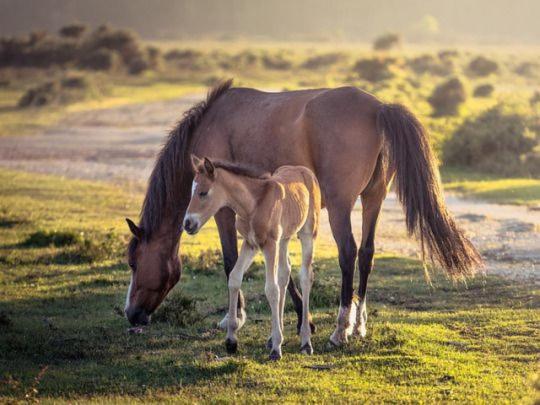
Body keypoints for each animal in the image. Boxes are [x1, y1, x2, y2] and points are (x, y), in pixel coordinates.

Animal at [184, 155, 322, 360]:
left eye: (203, 192)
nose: (187, 224)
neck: (253, 205)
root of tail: (305, 170)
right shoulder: (250, 244)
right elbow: (234, 278)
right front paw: (231, 340)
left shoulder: (269, 244)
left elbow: (271, 289)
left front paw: (276, 349)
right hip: (284, 238)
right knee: (284, 274)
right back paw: (274, 336)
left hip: (307, 232)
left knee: (305, 276)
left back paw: (305, 341)